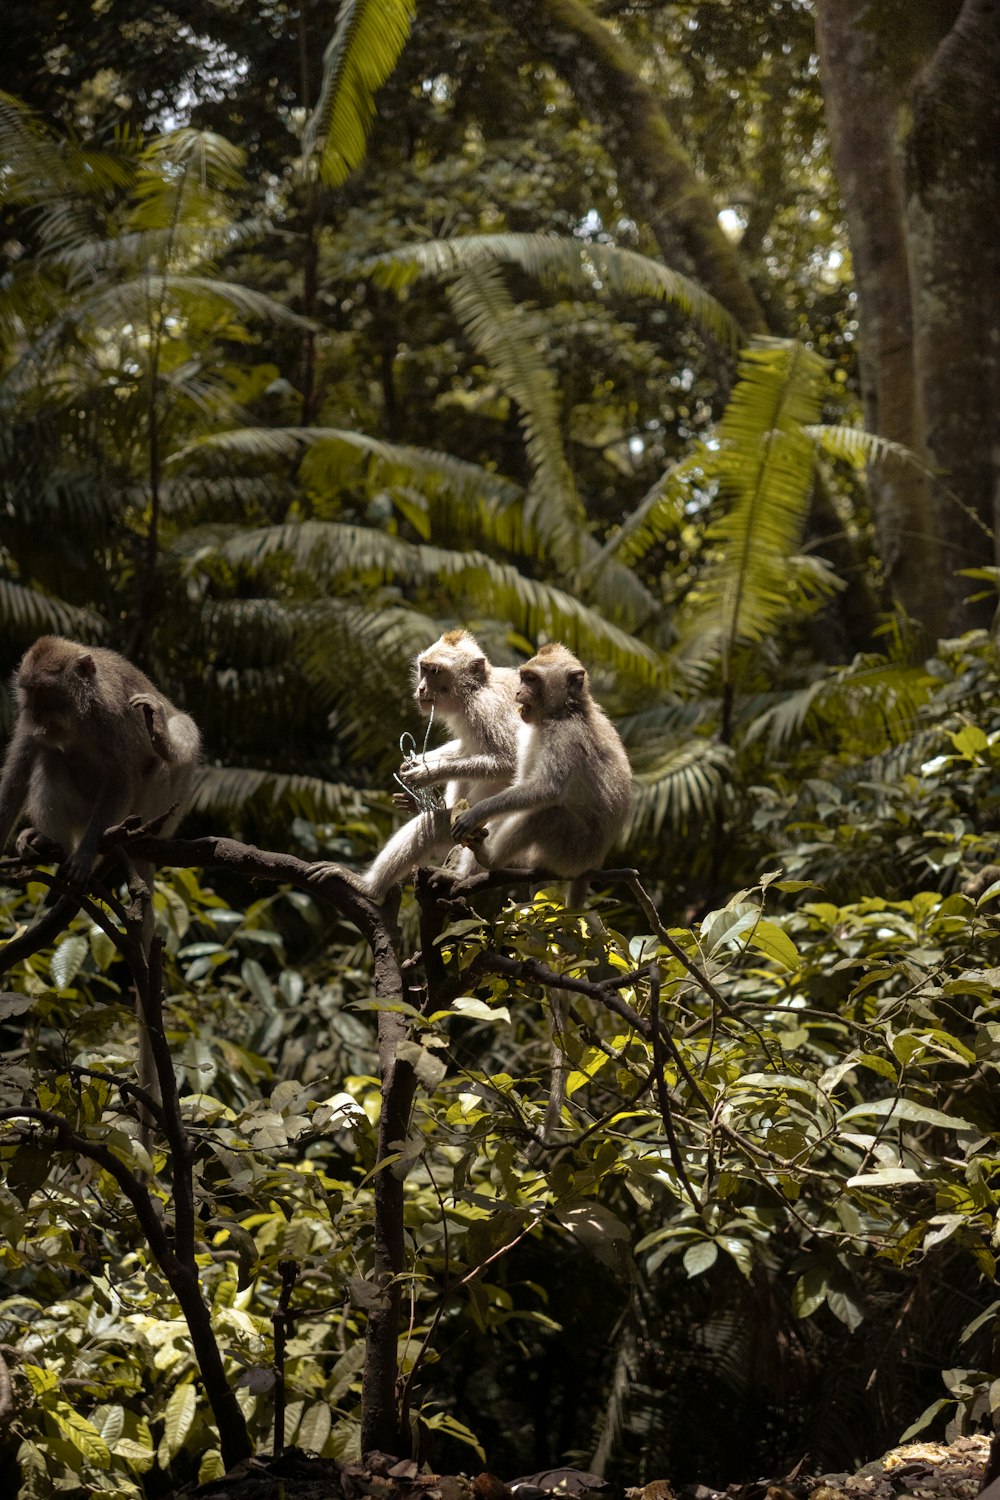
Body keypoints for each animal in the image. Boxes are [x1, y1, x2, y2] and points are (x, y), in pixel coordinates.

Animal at [0, 633, 200, 1134]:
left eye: (48, 695)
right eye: (30, 696)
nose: (39, 718)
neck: (82, 712)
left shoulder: (114, 713)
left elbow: (122, 773)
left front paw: (89, 855)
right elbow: (22, 765)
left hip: (158, 805)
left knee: (176, 735)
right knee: (50, 758)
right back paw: (49, 841)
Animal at [313, 630, 521, 900]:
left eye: (435, 671)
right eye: (423, 669)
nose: (421, 688)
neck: (474, 691)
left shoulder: (486, 709)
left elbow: (509, 761)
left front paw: (426, 774)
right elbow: (464, 748)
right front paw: (415, 764)